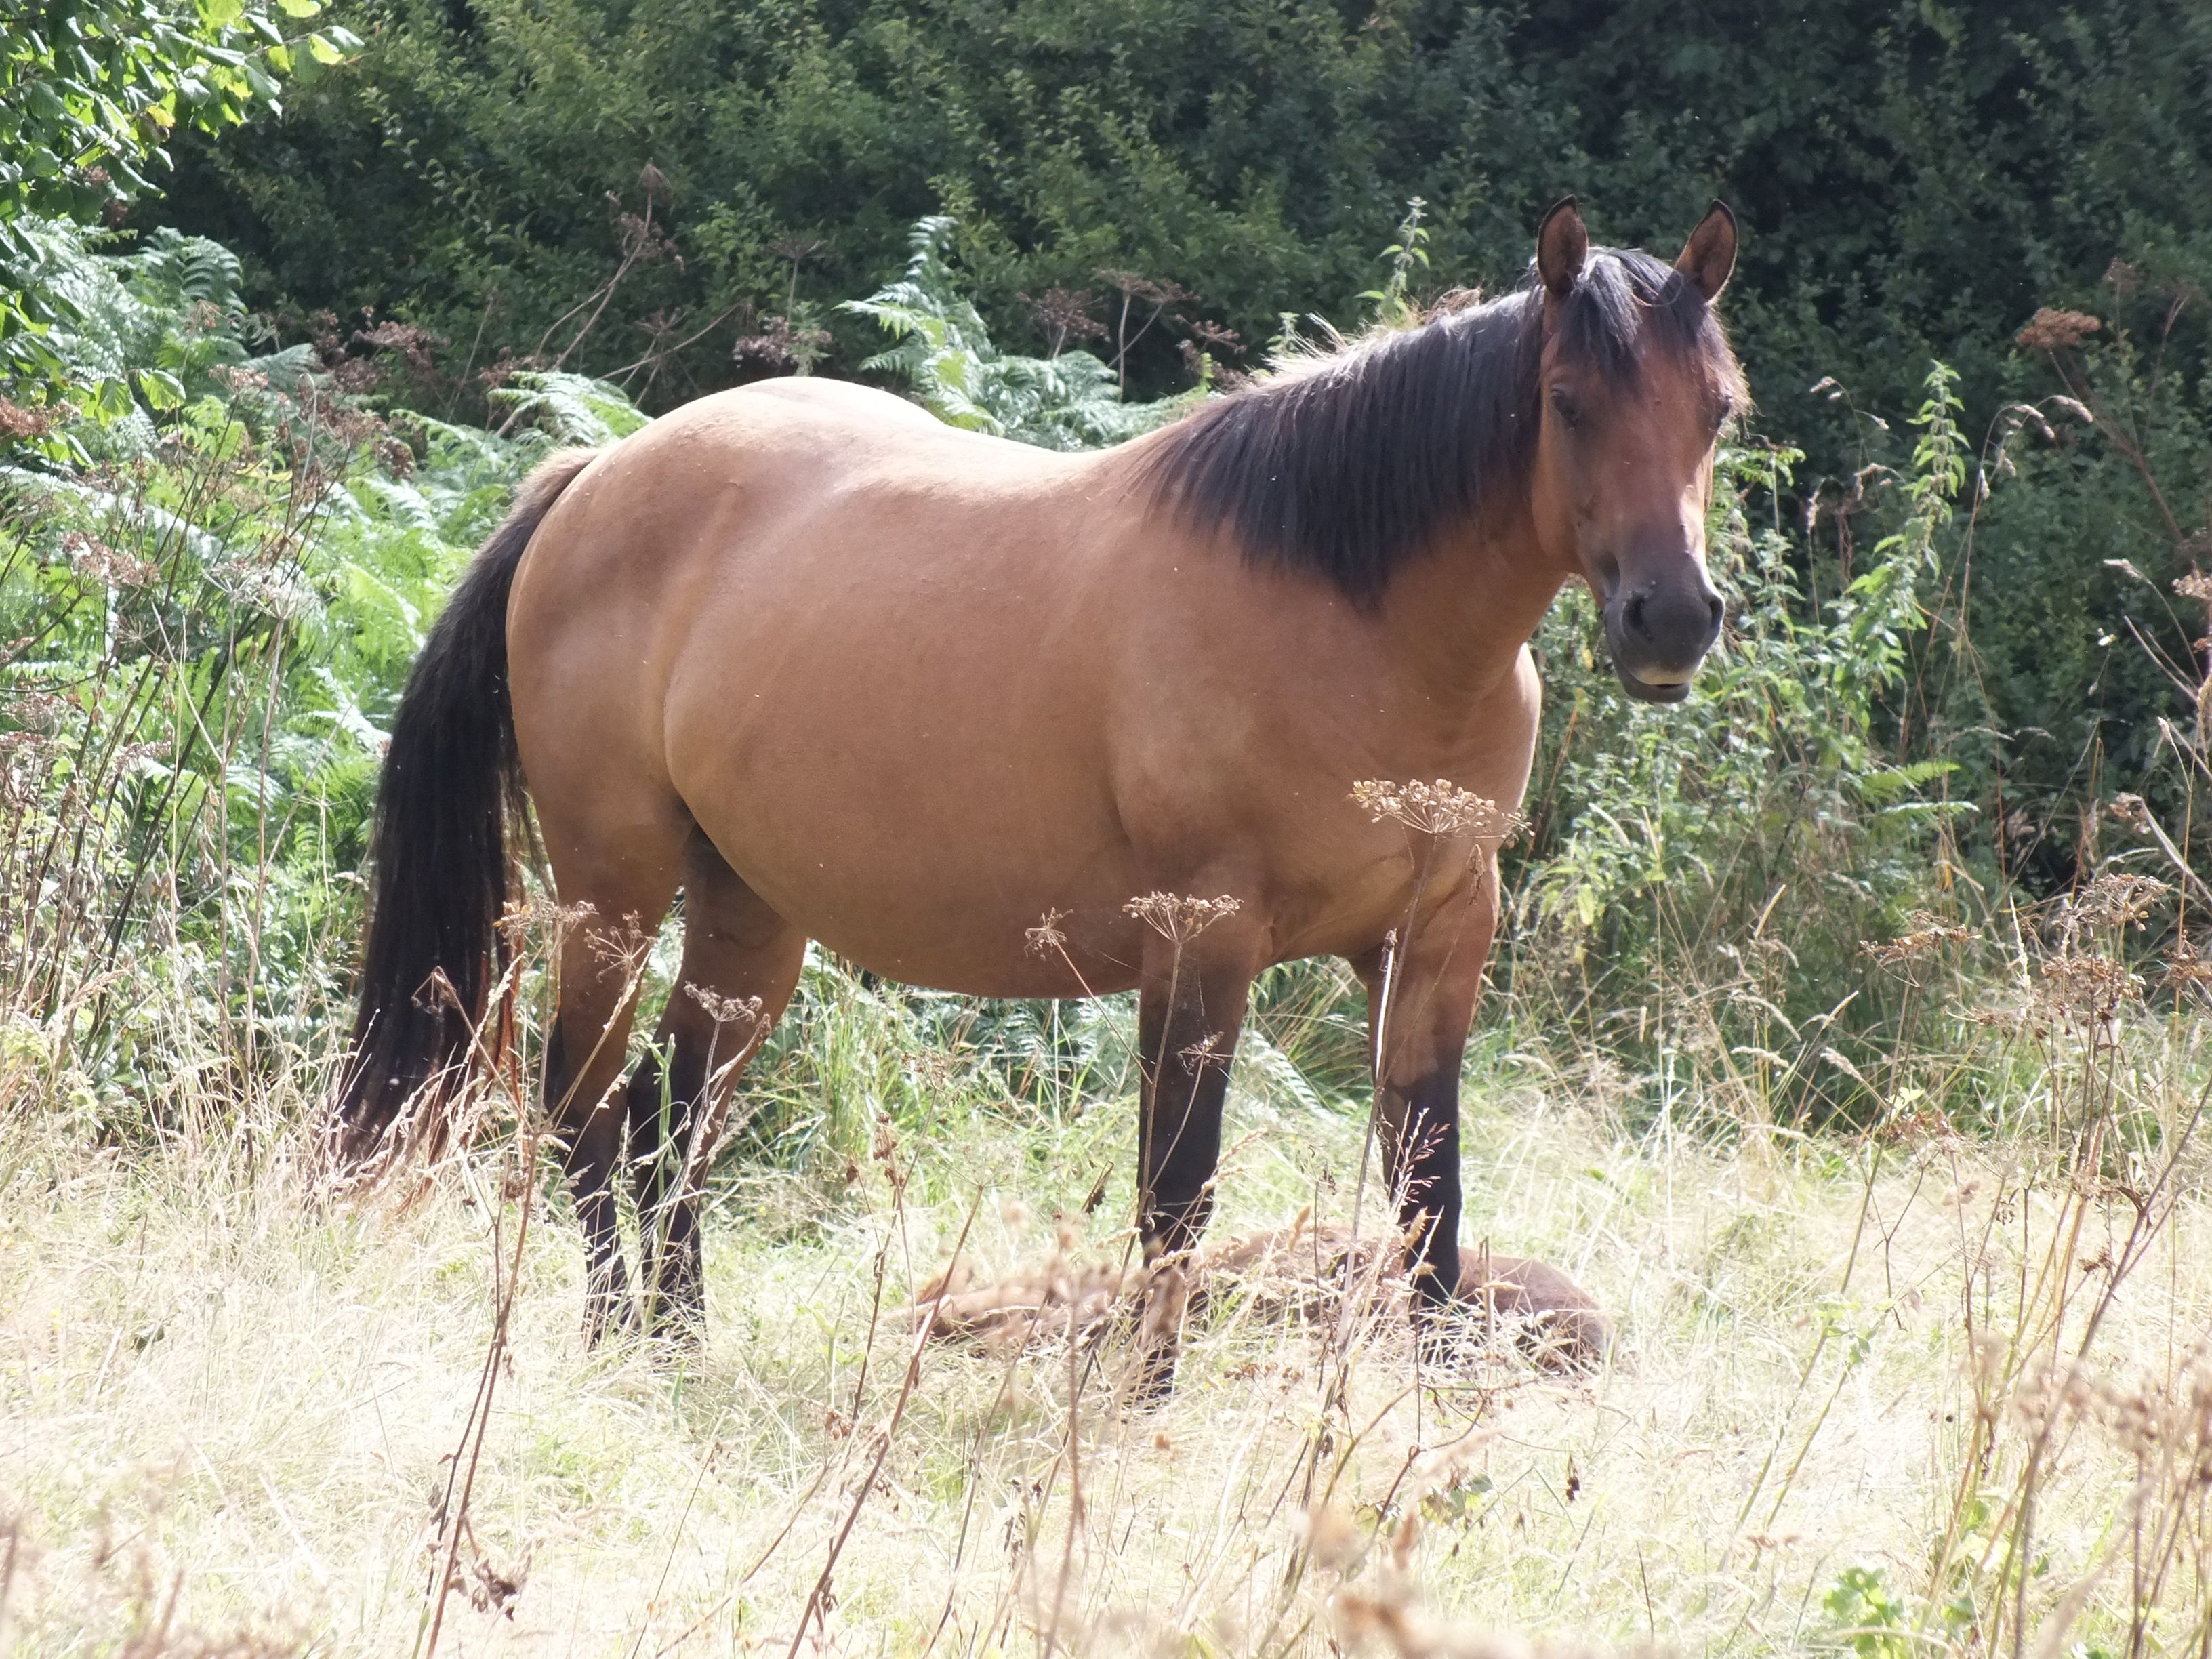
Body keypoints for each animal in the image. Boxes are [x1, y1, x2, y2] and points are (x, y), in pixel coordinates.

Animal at [334, 197, 1745, 1380]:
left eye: (1718, 409)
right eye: (1564, 399)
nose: (1669, 619)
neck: (1354, 620)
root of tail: (589, 480)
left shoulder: (1437, 931)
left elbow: (1425, 1179)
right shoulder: (1203, 940)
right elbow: (1177, 1186)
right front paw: (1145, 1399)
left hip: (747, 908)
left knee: (671, 1112)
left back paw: (681, 1343)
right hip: (612, 886)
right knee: (581, 1101)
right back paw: (614, 1335)